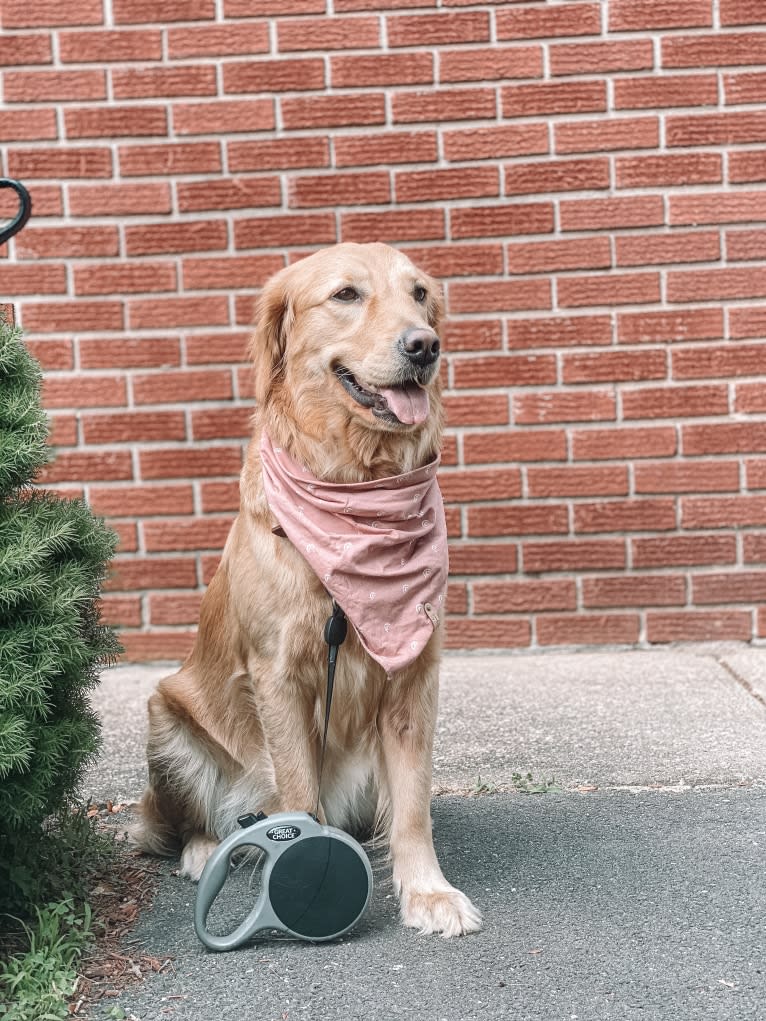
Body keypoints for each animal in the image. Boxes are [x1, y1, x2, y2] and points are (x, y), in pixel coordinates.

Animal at [131, 242, 480, 935]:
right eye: (346, 294)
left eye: (420, 294)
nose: (424, 346)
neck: (355, 485)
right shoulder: (278, 675)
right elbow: (298, 792)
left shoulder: (415, 671)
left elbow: (413, 806)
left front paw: (427, 892)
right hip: (168, 720)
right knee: (186, 822)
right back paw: (205, 848)